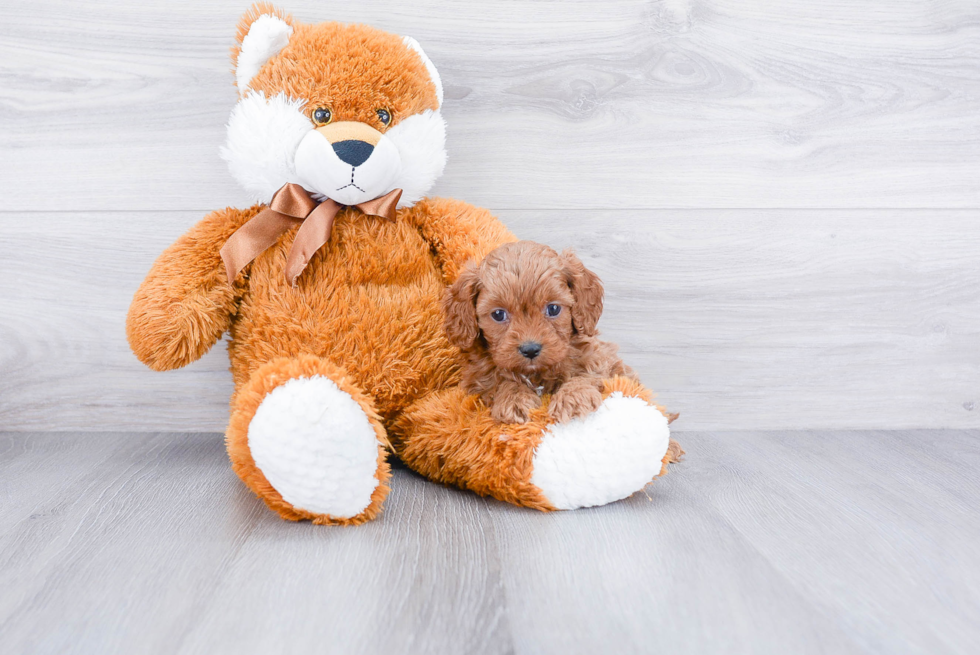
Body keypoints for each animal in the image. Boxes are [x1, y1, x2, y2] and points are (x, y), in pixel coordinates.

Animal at [442, 241, 636, 426]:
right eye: (498, 314)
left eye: (553, 309)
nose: (530, 350)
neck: (537, 374)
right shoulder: (479, 381)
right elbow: (501, 382)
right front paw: (514, 399)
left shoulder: (602, 360)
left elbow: (587, 374)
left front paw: (573, 397)